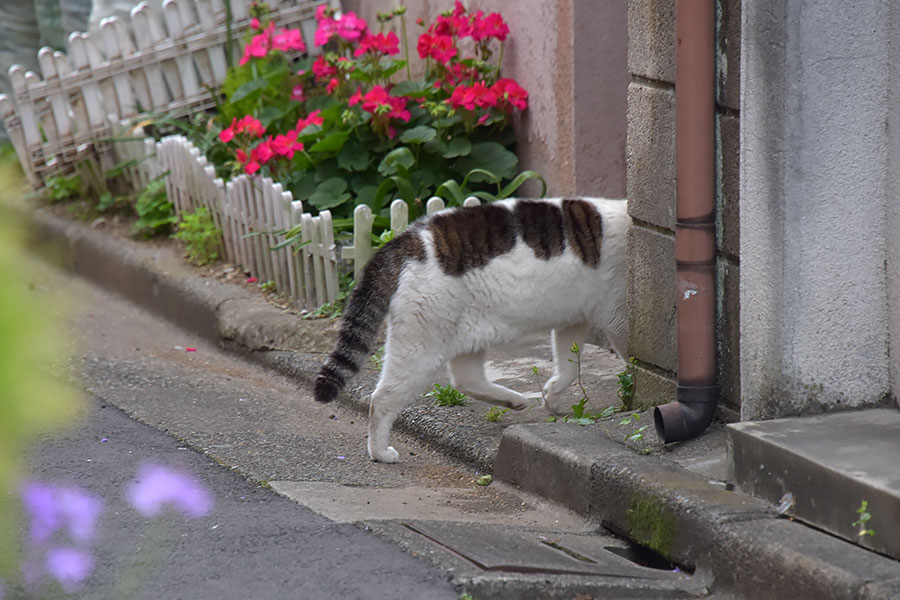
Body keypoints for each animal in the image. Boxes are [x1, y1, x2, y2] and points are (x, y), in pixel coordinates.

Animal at [312, 197, 628, 464]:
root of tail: (405, 238)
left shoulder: (573, 321)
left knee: (466, 380)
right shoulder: (616, 314)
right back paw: (380, 452)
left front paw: (553, 396)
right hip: (421, 348)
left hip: (468, 335)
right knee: (382, 399)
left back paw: (513, 400)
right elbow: (623, 353)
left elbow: (568, 365)